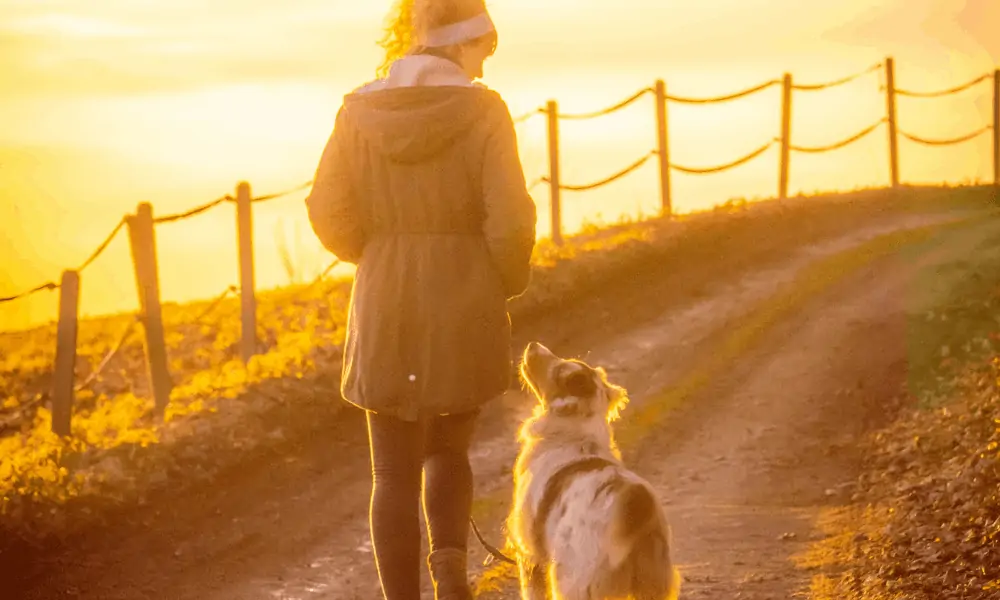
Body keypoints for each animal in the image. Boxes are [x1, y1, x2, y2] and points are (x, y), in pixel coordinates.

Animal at [508, 342, 680, 600]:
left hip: (575, 584)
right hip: (652, 584)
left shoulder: (529, 556)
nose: (532, 345)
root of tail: (637, 502)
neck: (575, 432)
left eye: (559, 371)